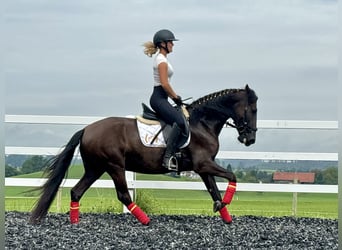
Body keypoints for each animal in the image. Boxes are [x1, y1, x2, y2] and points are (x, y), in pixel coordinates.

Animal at [30, 85, 258, 226]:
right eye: (253, 110)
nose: (249, 139)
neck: (201, 123)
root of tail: (87, 129)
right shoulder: (203, 164)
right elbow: (232, 177)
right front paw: (226, 203)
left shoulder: (203, 168)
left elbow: (213, 190)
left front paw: (225, 214)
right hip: (114, 166)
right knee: (123, 194)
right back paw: (146, 220)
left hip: (96, 168)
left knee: (76, 191)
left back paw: (75, 222)